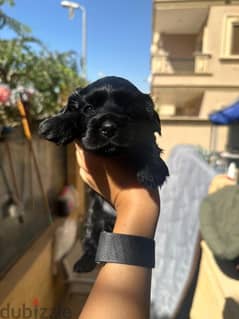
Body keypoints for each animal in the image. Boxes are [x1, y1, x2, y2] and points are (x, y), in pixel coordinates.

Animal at [38, 77, 168, 272]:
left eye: (129, 110)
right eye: (89, 108)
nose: (108, 127)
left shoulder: (143, 134)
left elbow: (148, 142)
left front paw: (153, 169)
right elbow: (72, 114)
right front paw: (55, 124)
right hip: (92, 222)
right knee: (92, 242)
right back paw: (84, 262)